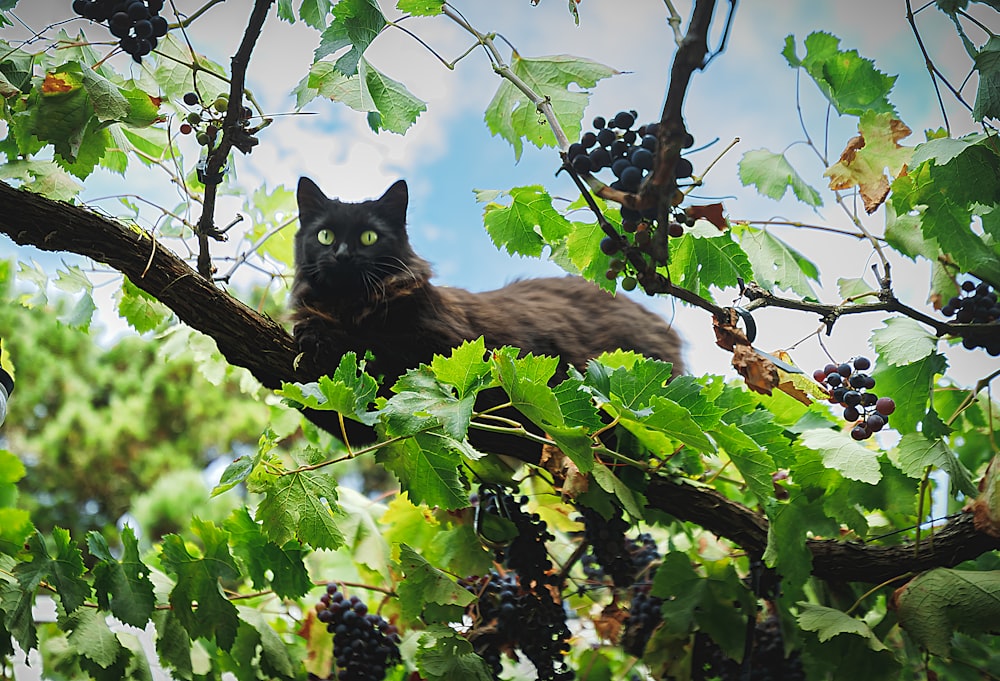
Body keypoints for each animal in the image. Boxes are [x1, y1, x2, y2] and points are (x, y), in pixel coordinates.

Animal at [286, 178, 684, 460]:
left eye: (369, 237)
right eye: (325, 235)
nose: (341, 255)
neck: (349, 304)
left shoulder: (433, 349)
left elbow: (373, 345)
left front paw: (317, 333)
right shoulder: (365, 426)